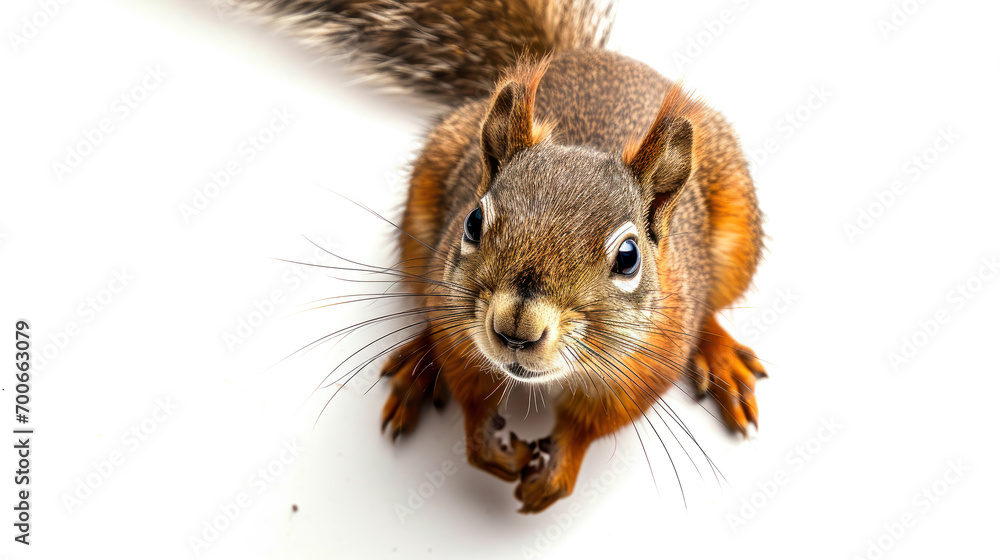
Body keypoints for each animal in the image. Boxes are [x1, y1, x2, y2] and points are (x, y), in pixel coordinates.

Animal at [226, 0, 767, 513]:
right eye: (472, 222)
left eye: (629, 257)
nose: (516, 329)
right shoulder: (456, 322)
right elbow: (469, 388)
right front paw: (491, 446)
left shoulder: (648, 362)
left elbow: (595, 422)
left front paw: (558, 469)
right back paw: (419, 363)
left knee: (715, 306)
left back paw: (721, 354)